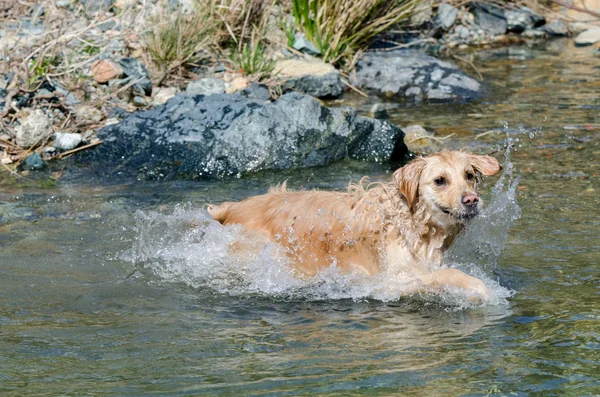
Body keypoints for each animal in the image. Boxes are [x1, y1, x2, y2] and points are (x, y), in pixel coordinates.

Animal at [209, 150, 504, 298]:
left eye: (469, 175)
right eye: (440, 180)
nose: (471, 200)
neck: (411, 222)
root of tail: (234, 206)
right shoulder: (390, 280)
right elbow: (448, 275)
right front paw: (481, 289)